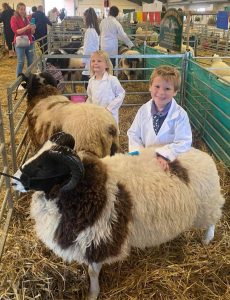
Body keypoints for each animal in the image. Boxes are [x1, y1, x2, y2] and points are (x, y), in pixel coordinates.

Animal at [12, 132, 225, 300]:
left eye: (44, 167)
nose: (14, 181)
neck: (88, 188)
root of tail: (203, 154)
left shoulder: (100, 239)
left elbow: (92, 271)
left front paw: (92, 293)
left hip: (208, 203)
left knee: (213, 220)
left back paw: (207, 239)